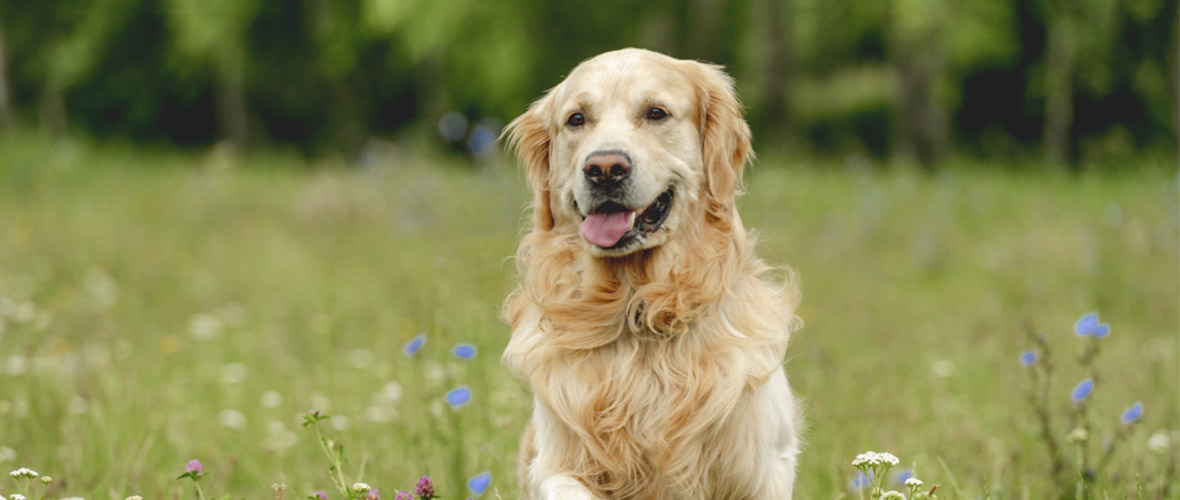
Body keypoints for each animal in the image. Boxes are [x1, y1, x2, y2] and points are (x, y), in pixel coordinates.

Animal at [497, 47, 802, 499]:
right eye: (576, 119)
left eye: (656, 113)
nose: (604, 168)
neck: (637, 305)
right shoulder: (555, 461)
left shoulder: (764, 468)